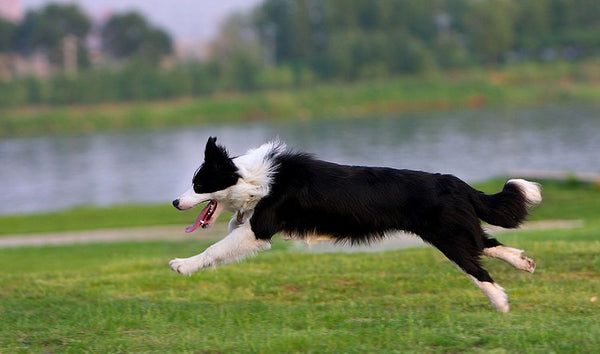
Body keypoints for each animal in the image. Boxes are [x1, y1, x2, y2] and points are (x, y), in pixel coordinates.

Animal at [171, 138, 540, 312]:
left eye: (198, 185)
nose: (174, 202)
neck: (251, 177)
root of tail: (454, 181)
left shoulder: (260, 229)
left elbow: (215, 248)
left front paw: (182, 265)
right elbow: (231, 229)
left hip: (448, 237)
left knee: (478, 267)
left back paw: (500, 302)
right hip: (457, 231)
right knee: (488, 244)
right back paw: (523, 263)